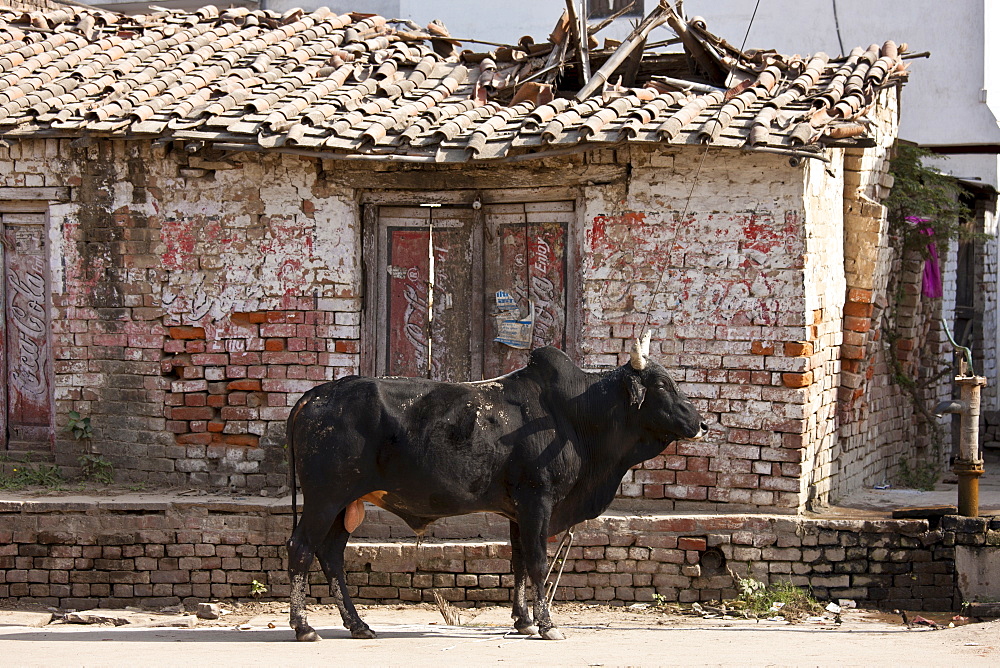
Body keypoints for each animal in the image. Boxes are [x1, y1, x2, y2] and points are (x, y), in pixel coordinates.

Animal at [284, 348, 704, 640]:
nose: (700, 423)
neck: (574, 414)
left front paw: (523, 621)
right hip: (325, 499)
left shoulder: (519, 510)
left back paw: (358, 625)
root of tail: (314, 395)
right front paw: (547, 625)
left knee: (331, 555)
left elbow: (517, 562)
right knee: (301, 549)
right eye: (662, 385)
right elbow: (537, 561)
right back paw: (304, 627)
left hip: (345, 504)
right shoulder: (537, 500)